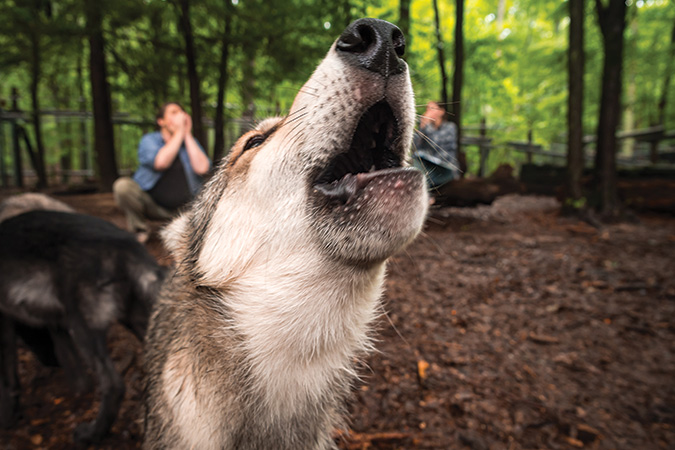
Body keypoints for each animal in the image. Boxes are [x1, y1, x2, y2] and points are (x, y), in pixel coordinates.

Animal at [0, 207, 167, 444]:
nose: (49, 362)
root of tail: (128, 245)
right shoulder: (55, 324)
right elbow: (67, 357)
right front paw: (80, 388)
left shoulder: (4, 321)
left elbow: (7, 375)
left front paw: (6, 417)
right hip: (135, 321)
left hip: (83, 328)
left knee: (113, 385)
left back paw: (93, 434)